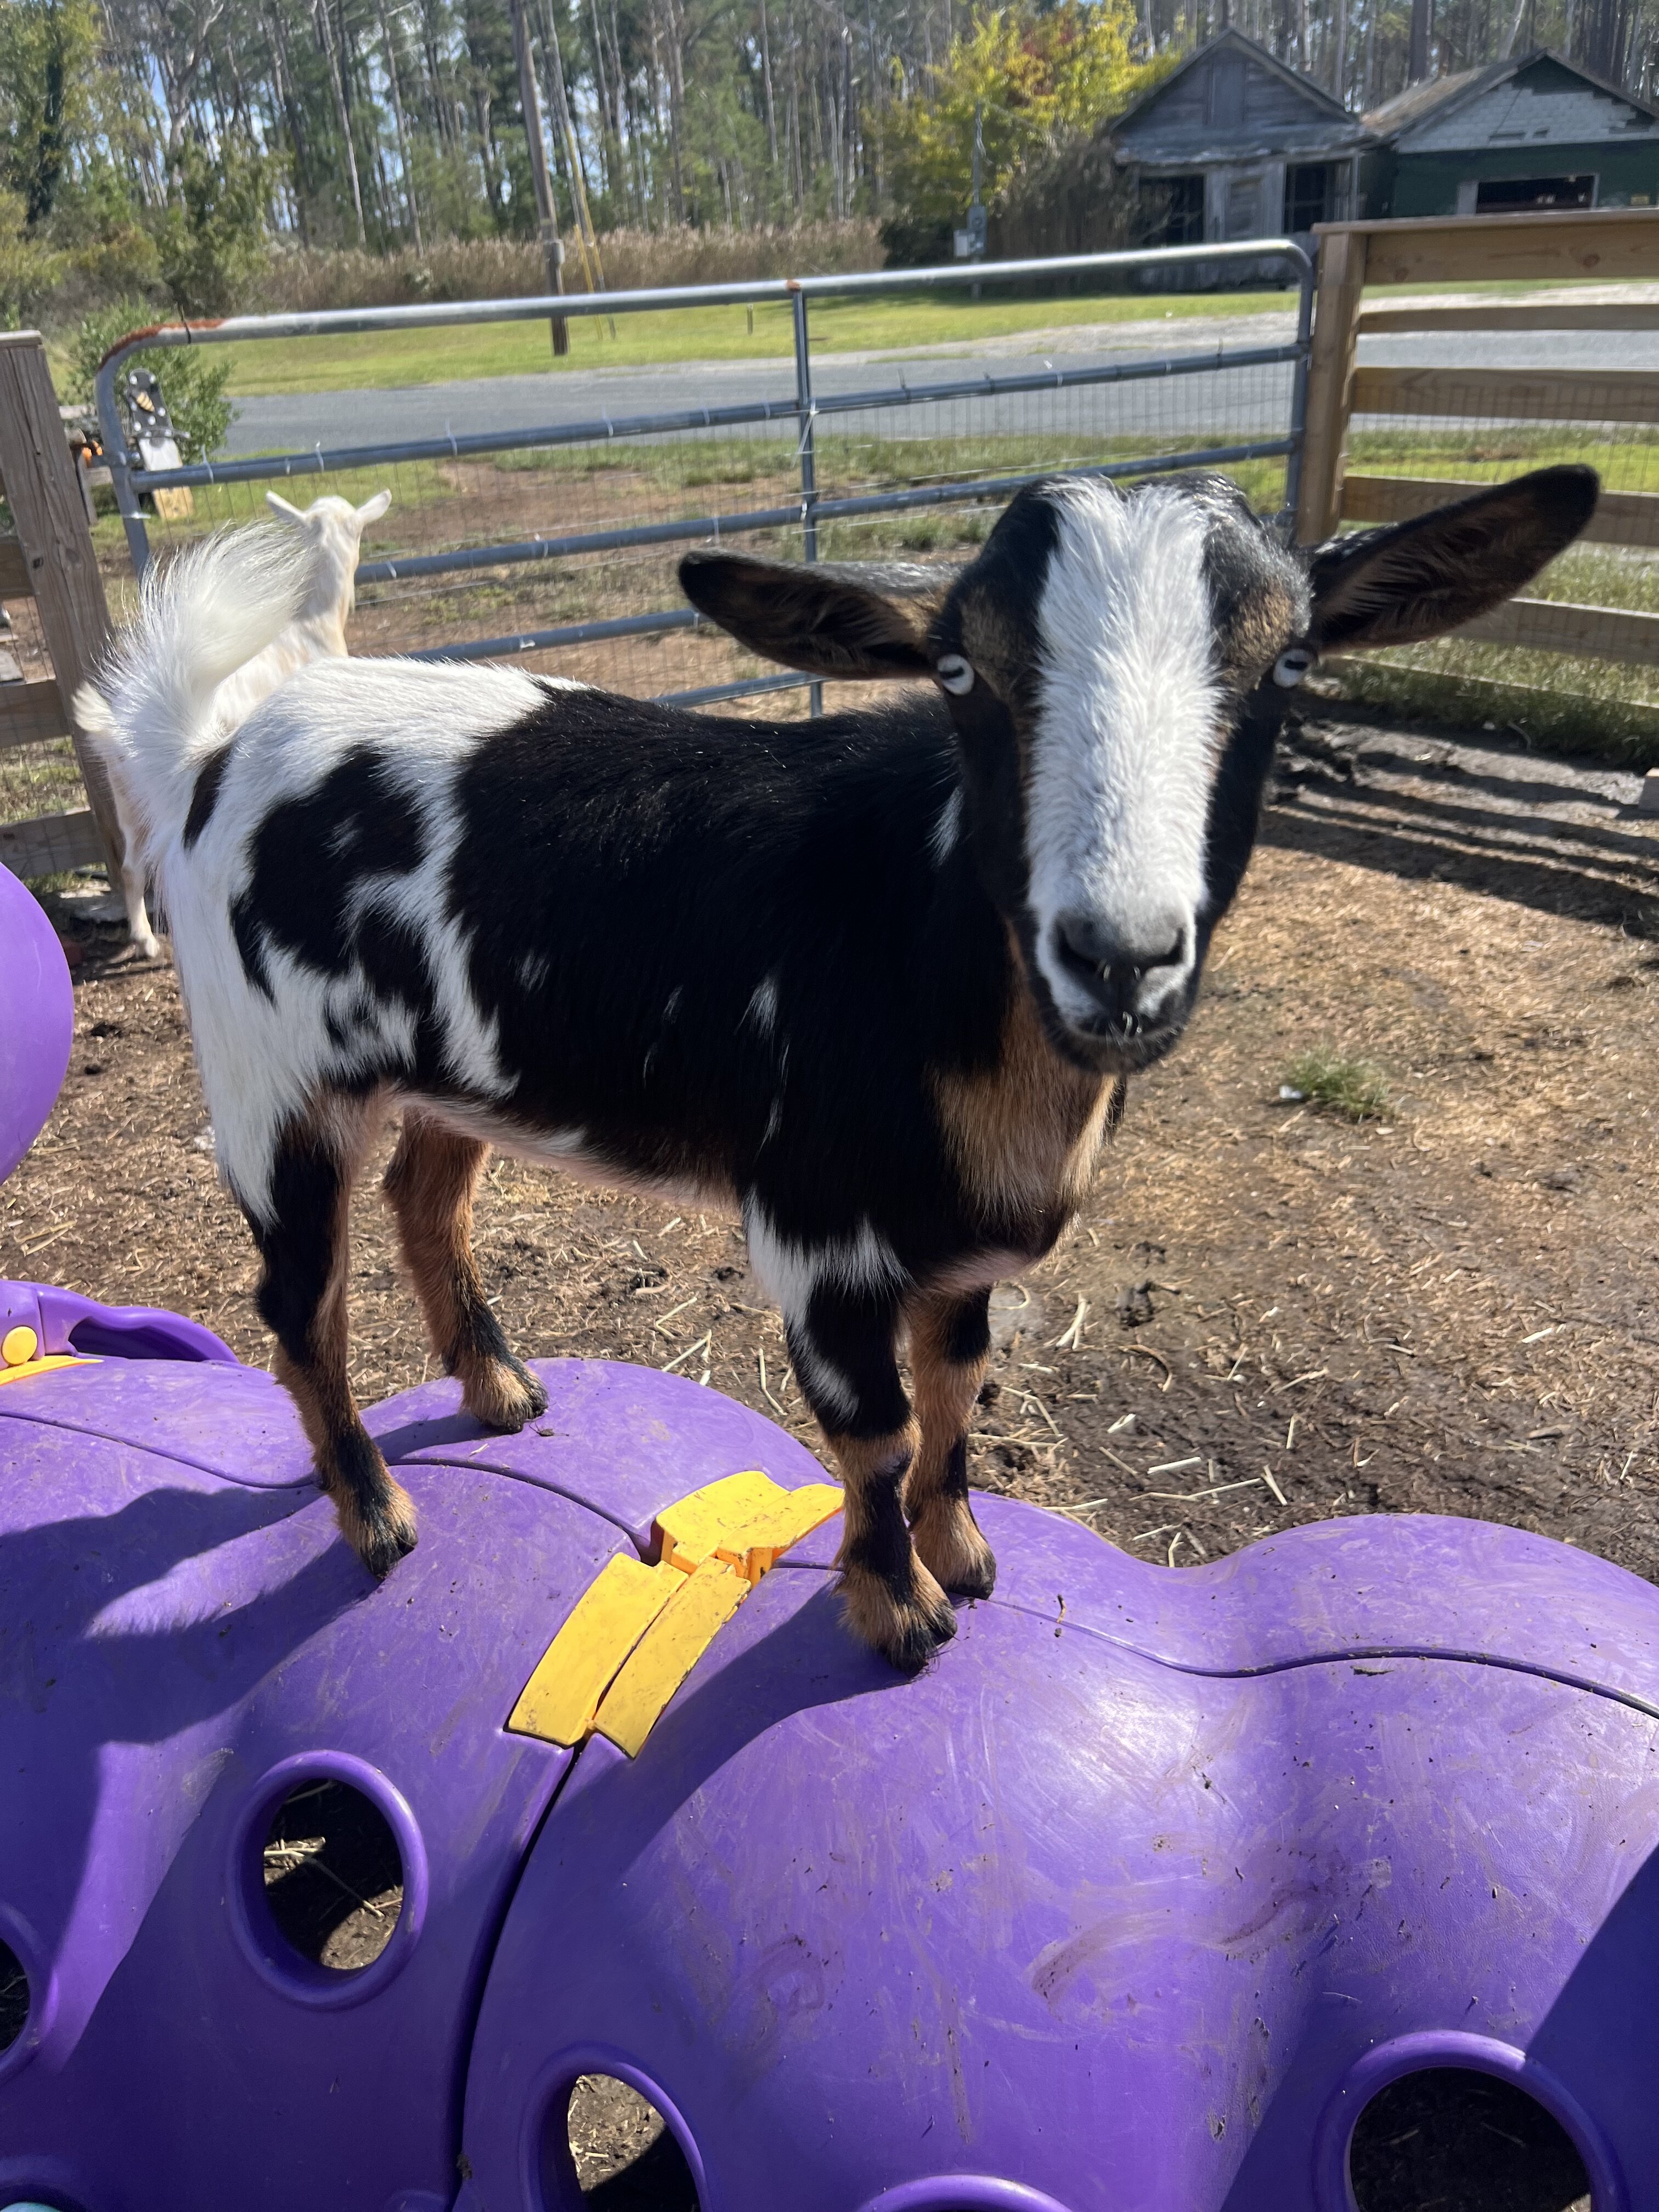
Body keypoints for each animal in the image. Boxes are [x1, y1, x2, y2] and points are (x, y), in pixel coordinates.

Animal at [75, 488, 391, 959]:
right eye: (359, 531)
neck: (312, 624)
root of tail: (117, 731)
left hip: (128, 800)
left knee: (131, 867)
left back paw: (146, 941)